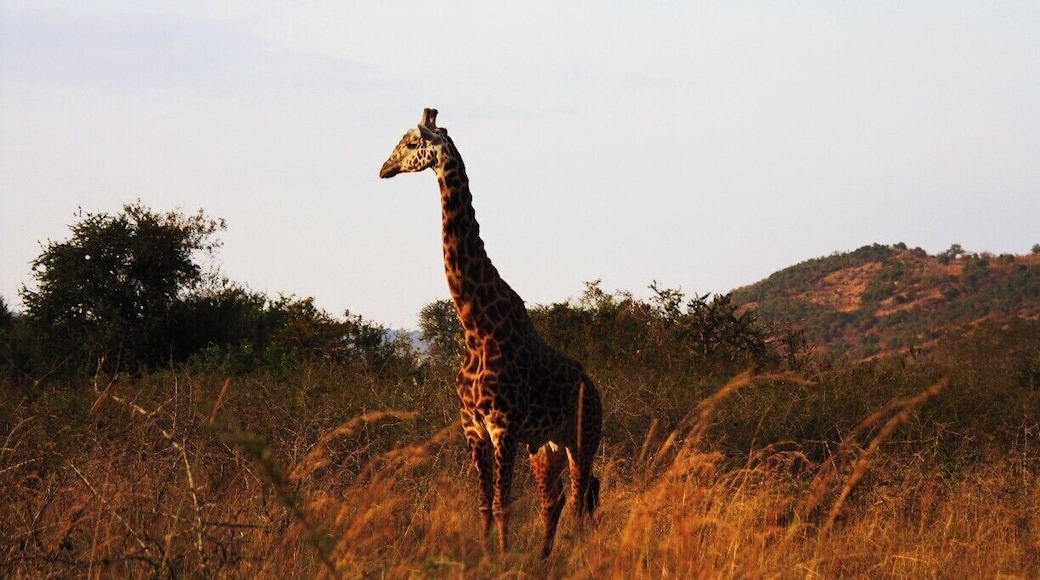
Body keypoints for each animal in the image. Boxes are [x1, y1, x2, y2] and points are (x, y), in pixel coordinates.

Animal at [379, 109, 602, 557]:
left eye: (411, 144)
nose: (383, 169)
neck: (476, 327)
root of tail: (598, 392)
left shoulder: (504, 426)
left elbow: (502, 504)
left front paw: (499, 558)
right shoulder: (473, 425)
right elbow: (484, 503)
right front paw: (484, 557)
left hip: (583, 438)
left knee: (580, 497)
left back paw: (570, 553)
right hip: (545, 446)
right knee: (555, 499)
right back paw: (544, 557)